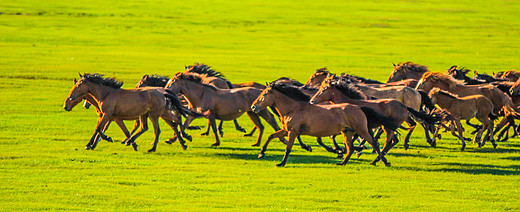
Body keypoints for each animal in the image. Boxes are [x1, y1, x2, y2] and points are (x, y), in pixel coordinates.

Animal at [250, 82, 400, 166]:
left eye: (264, 94)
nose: (253, 107)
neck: (293, 108)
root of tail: (359, 108)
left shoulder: (293, 132)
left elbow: (288, 148)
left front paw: (281, 163)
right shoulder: (287, 130)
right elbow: (271, 136)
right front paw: (261, 153)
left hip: (361, 130)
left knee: (374, 143)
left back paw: (383, 162)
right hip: (347, 132)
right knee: (350, 148)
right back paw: (342, 162)